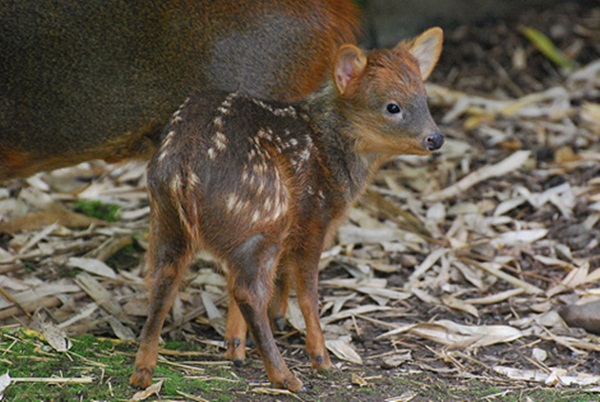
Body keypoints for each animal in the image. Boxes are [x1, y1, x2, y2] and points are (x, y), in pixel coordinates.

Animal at [130, 26, 440, 392]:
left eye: (425, 98)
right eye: (392, 106)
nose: (436, 139)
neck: (327, 148)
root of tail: (183, 167)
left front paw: (235, 348)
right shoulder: (313, 216)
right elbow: (307, 293)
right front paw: (320, 357)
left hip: (168, 218)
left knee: (164, 278)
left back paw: (142, 371)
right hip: (264, 214)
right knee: (249, 291)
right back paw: (286, 376)